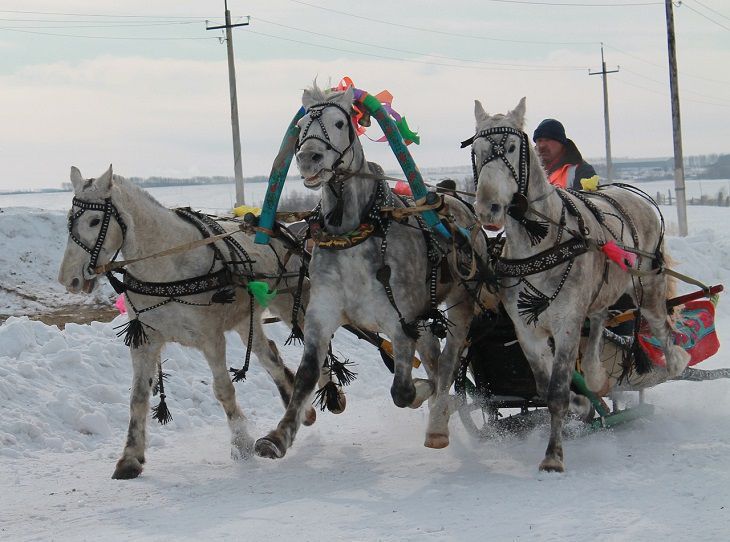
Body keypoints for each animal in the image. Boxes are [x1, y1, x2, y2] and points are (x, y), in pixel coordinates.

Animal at [58, 166, 318, 480]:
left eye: (95, 220)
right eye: (70, 219)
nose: (69, 279)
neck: (167, 267)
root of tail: (281, 230)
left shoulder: (210, 337)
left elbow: (223, 390)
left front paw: (241, 443)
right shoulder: (145, 339)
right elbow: (138, 396)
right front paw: (130, 457)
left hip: (291, 302)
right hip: (246, 319)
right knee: (269, 356)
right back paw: (301, 409)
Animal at [250, 85, 490, 464]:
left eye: (338, 122)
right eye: (301, 126)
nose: (309, 158)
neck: (353, 233)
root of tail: (458, 204)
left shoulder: (400, 321)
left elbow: (403, 391)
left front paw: (423, 393)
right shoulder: (321, 315)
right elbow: (306, 376)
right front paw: (278, 436)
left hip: (460, 302)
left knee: (449, 361)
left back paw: (438, 421)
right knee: (435, 360)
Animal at [466, 100, 688, 474]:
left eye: (510, 147)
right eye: (478, 151)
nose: (488, 209)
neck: (540, 243)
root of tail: (633, 194)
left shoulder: (567, 324)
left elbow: (557, 391)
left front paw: (553, 456)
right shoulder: (527, 330)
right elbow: (546, 387)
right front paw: (582, 403)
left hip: (648, 289)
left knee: (663, 330)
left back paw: (673, 363)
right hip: (601, 293)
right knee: (599, 321)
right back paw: (597, 377)